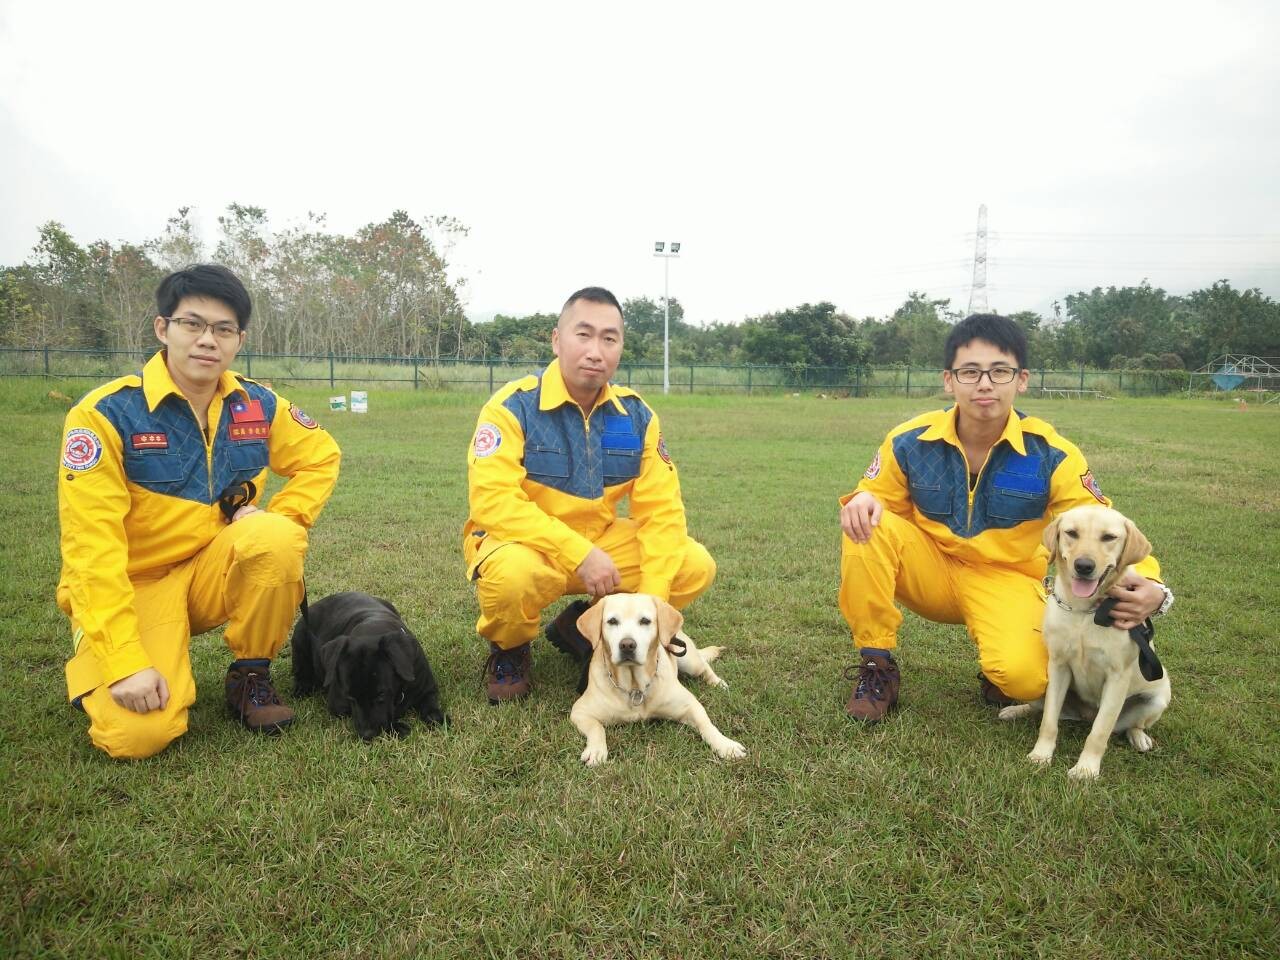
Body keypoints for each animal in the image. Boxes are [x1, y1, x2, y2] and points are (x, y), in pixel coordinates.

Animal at [290, 591, 445, 742]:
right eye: (349, 696)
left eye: (381, 694)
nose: (366, 734)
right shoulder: (337, 704)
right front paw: (396, 727)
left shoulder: (428, 689)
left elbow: (430, 707)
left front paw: (438, 718)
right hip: (299, 639)